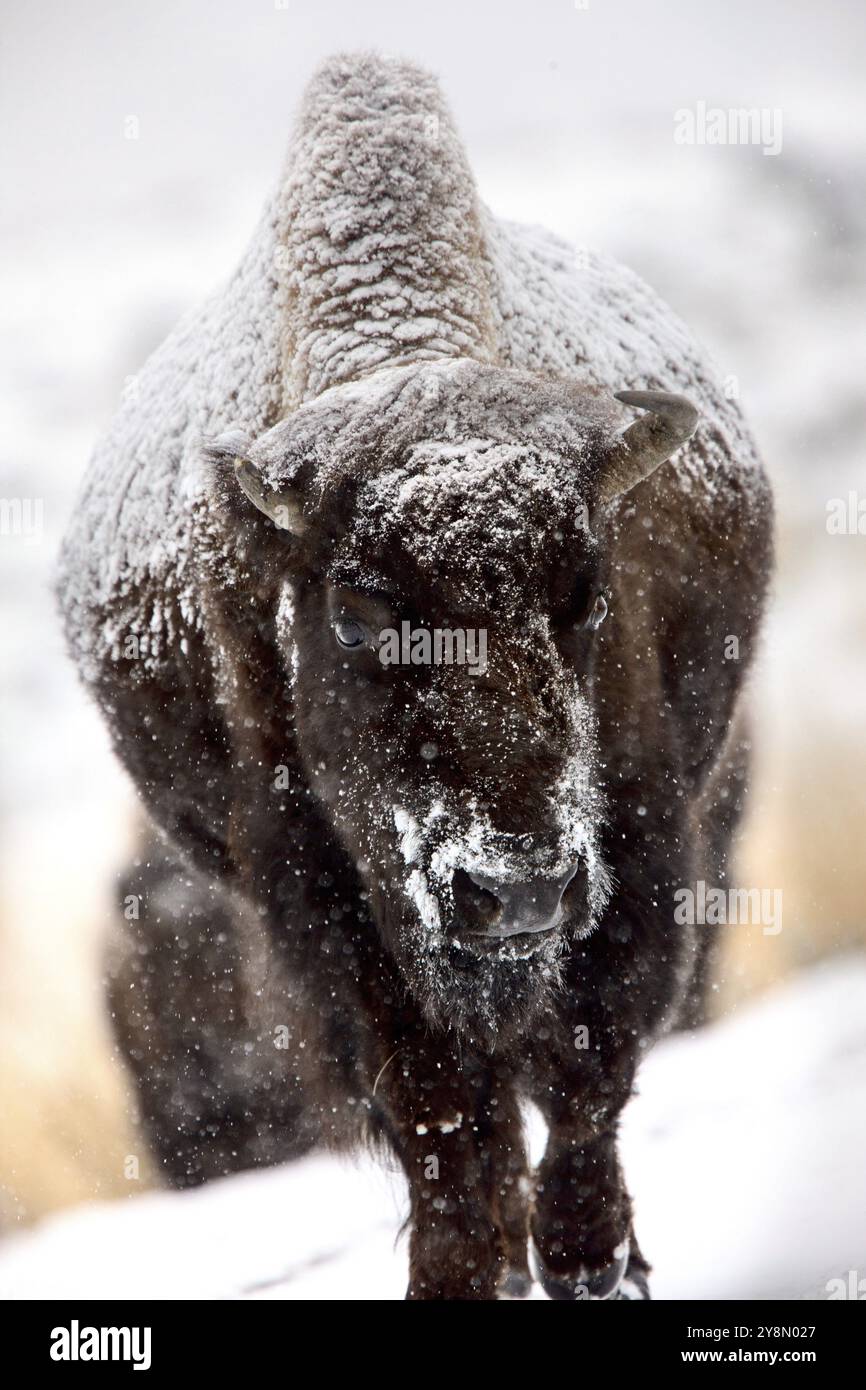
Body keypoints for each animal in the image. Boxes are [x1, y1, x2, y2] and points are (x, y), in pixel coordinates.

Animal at [57, 48, 772, 1295]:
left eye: (585, 595)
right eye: (354, 609)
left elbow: (586, 1083)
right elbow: (446, 1124)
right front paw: (463, 1270)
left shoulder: (641, 848)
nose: (515, 886)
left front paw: (593, 1262)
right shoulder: (331, 917)